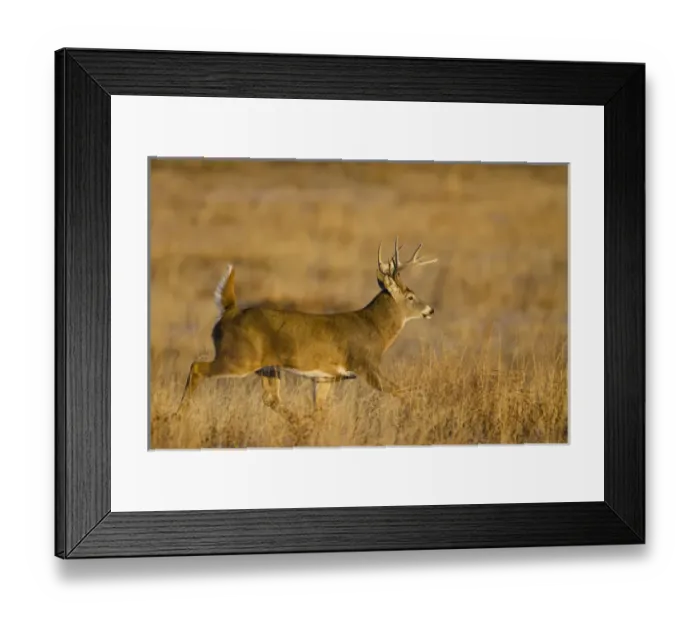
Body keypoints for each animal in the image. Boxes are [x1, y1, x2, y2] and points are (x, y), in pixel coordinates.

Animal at [174, 237, 438, 425]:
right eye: (411, 296)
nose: (431, 309)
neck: (374, 328)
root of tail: (228, 312)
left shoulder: (326, 376)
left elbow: (320, 409)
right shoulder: (366, 364)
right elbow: (403, 391)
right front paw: (421, 412)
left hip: (267, 367)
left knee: (270, 398)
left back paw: (299, 423)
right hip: (239, 357)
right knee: (197, 367)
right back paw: (178, 415)